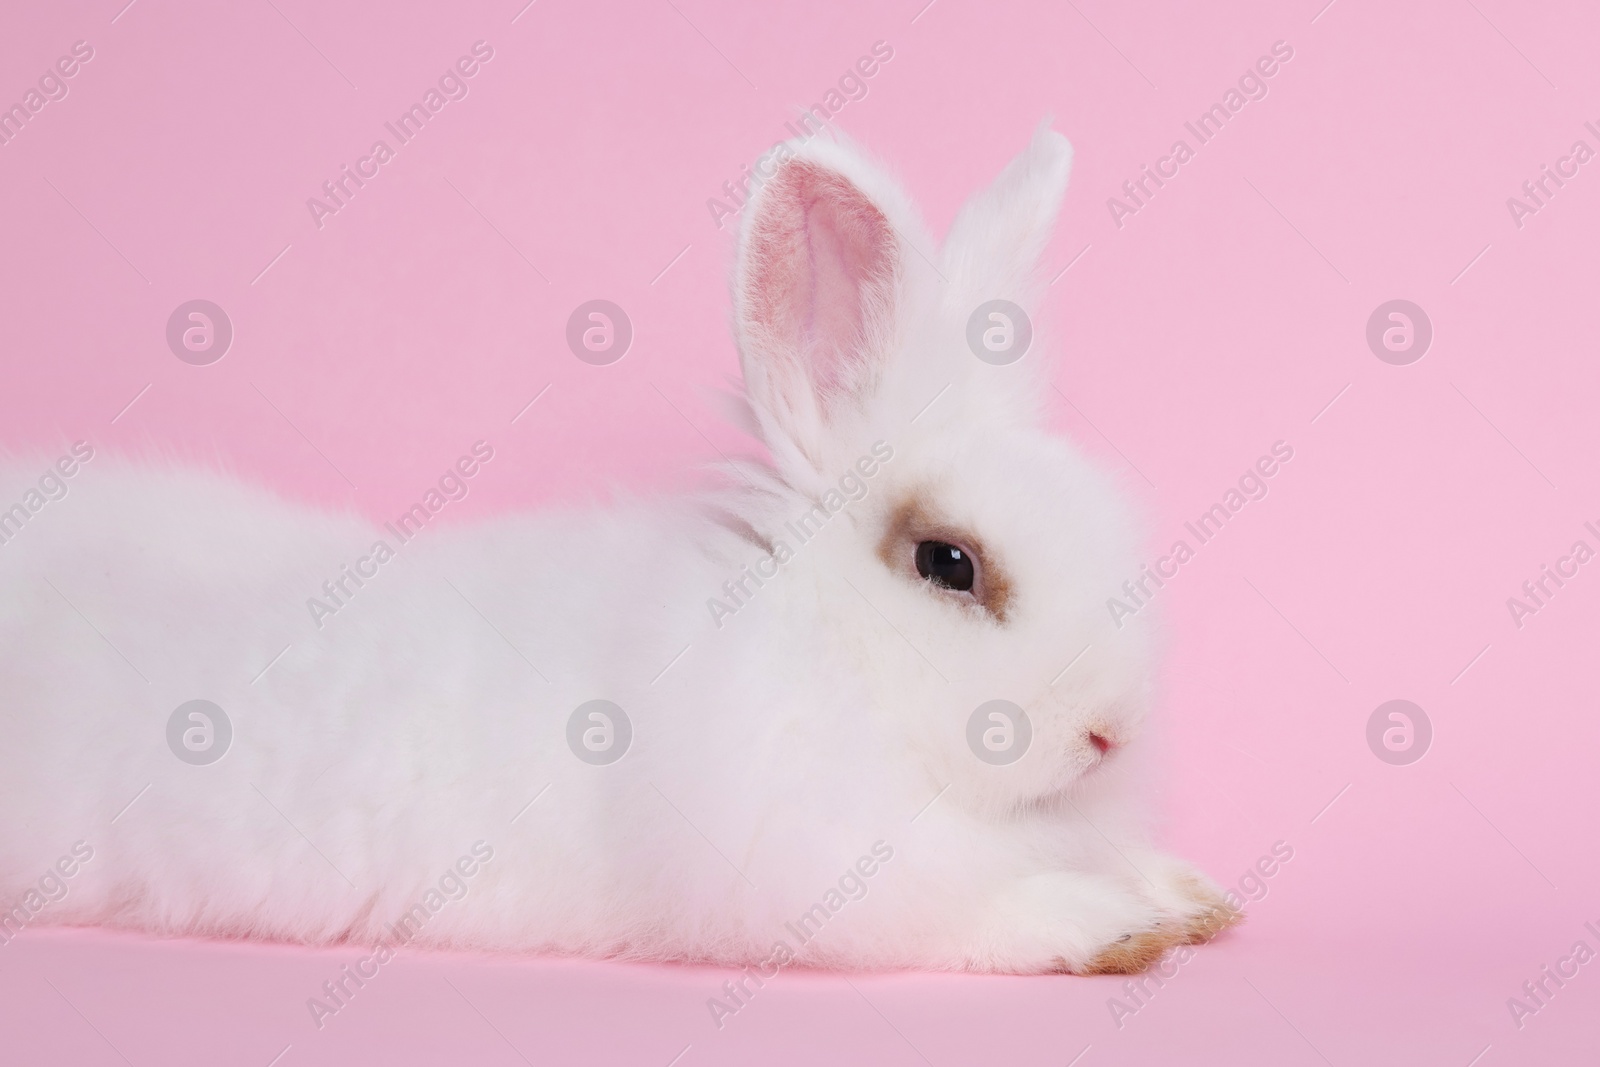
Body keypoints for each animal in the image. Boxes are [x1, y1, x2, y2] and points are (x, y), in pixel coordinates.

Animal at [0, 120, 1235, 979]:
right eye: (948, 563)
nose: (1109, 733)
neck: (835, 663)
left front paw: (1191, 894)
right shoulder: (827, 871)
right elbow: (982, 917)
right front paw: (1117, 923)